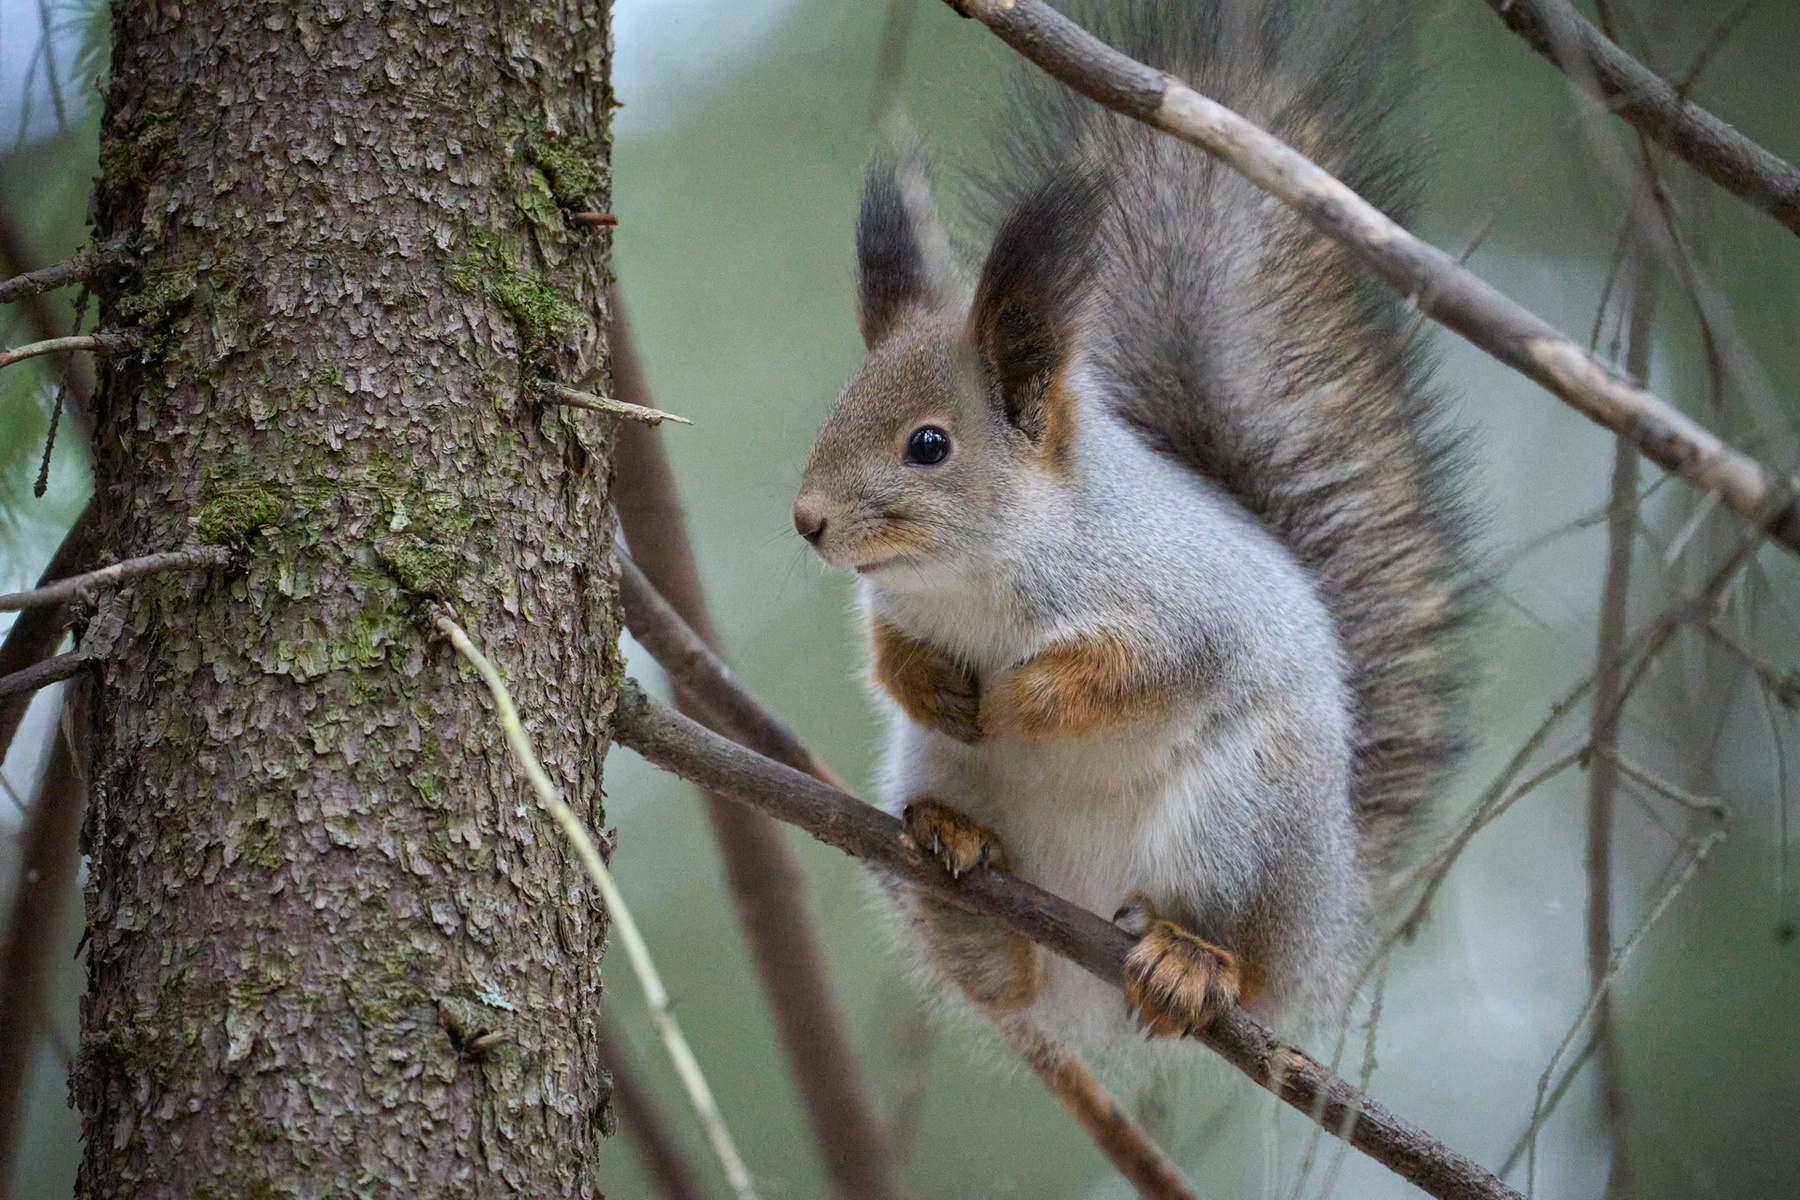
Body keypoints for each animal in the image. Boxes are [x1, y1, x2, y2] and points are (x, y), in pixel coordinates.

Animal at [792, 0, 1476, 1047]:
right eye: (838, 407)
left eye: (928, 445)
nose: (809, 520)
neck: (977, 572)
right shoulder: (896, 604)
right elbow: (886, 652)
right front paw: (930, 681)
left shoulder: (1183, 601)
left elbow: (1139, 671)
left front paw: (1023, 695)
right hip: (946, 776)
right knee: (1005, 981)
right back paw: (960, 861)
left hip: (1245, 821)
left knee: (1234, 952)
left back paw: (1194, 961)